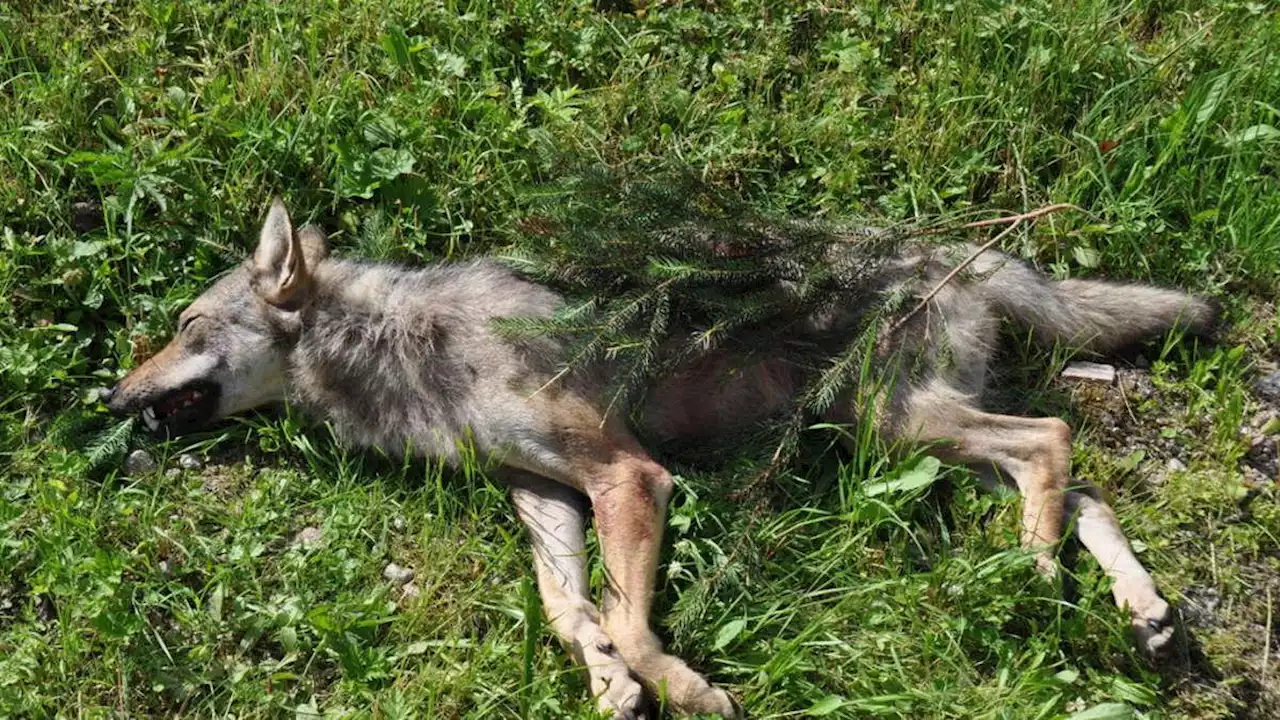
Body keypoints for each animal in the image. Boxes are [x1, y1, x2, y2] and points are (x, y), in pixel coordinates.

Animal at [104, 197, 1213, 717]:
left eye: (184, 325)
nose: (109, 397)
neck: (404, 343)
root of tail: (957, 249)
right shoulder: (544, 494)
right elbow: (567, 608)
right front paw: (605, 680)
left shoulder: (626, 476)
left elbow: (633, 619)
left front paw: (680, 686)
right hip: (916, 435)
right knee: (1081, 490)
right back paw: (1141, 612)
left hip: (899, 423)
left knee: (1053, 443)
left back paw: (1032, 572)